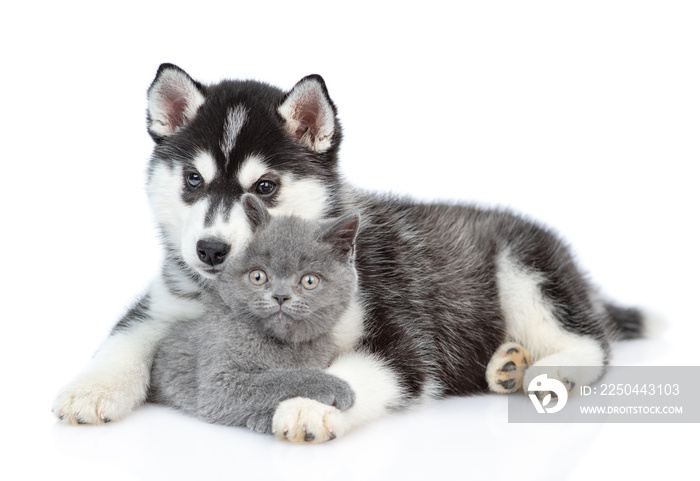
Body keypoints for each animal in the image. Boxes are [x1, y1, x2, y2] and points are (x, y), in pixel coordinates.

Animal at [152, 193, 360, 434]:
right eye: (258, 276)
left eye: (309, 281)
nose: (280, 296)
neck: (282, 344)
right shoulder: (219, 385)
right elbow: (276, 380)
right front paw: (333, 385)